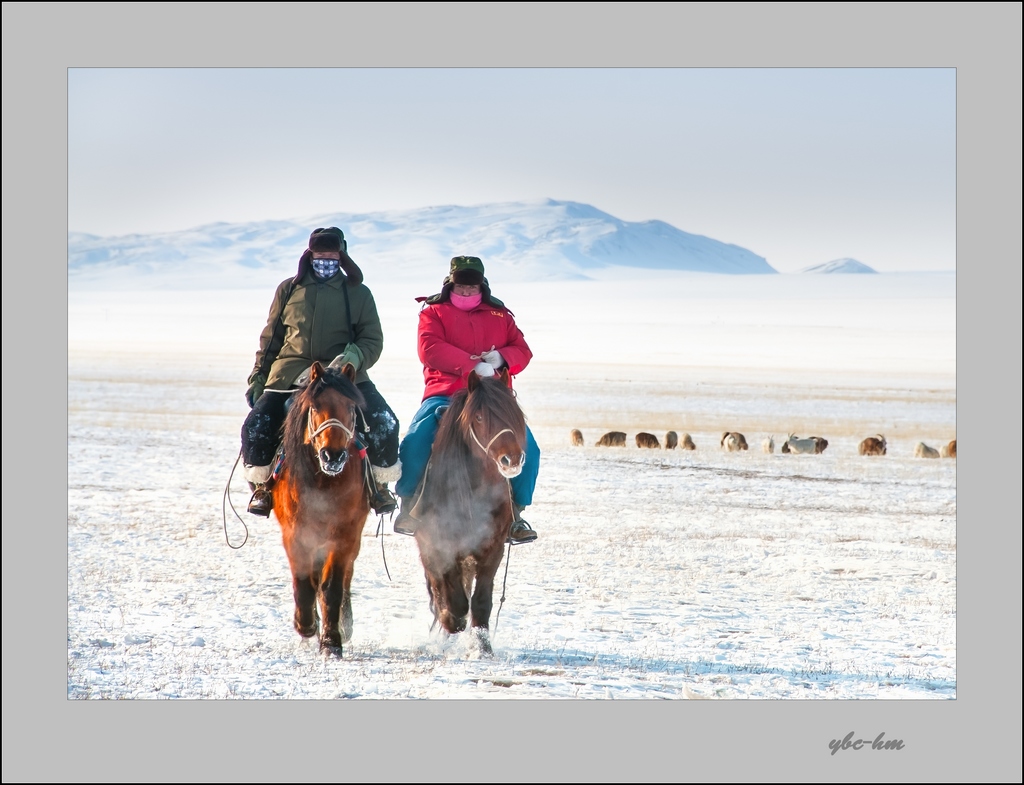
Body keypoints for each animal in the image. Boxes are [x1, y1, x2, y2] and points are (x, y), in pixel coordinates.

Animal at [270, 364, 370, 655]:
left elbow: (332, 586)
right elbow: (304, 583)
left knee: (346, 574)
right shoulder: (295, 534)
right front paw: (306, 625)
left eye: (351, 407)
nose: (332, 456)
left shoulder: (344, 534)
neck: (323, 481)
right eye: (314, 407)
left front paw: (331, 641)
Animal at [407, 368, 524, 655]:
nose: (512, 460)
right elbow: (455, 602)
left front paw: (482, 647)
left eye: (514, 412)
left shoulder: (492, 548)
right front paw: (449, 628)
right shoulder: (440, 546)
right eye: (479, 417)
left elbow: (480, 602)